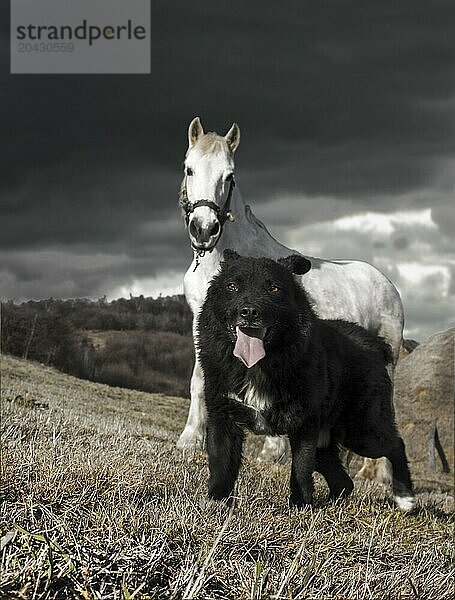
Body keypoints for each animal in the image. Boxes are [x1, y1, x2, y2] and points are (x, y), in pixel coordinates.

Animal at [176, 118, 404, 478]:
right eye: (189, 169)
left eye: (230, 176)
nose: (204, 228)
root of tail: (387, 284)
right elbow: (200, 380)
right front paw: (189, 442)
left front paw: (272, 450)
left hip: (389, 358)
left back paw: (377, 477)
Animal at [198, 248, 416, 510]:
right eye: (232, 286)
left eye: (274, 288)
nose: (249, 312)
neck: (258, 365)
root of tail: (372, 343)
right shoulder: (223, 416)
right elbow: (221, 464)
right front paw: (217, 502)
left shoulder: (304, 424)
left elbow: (301, 469)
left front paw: (299, 505)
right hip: (329, 442)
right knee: (344, 482)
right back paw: (332, 506)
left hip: (362, 431)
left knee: (396, 445)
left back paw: (405, 498)